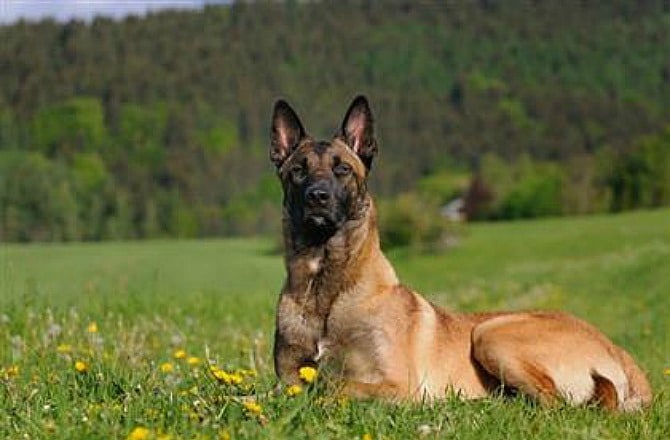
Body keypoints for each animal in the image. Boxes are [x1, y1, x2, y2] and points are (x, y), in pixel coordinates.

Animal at [269, 95, 652, 411]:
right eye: (298, 170)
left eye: (342, 169)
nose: (317, 197)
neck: (327, 286)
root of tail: (617, 350)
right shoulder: (288, 379)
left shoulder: (398, 384)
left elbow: (335, 387)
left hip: (491, 333)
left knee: (553, 402)